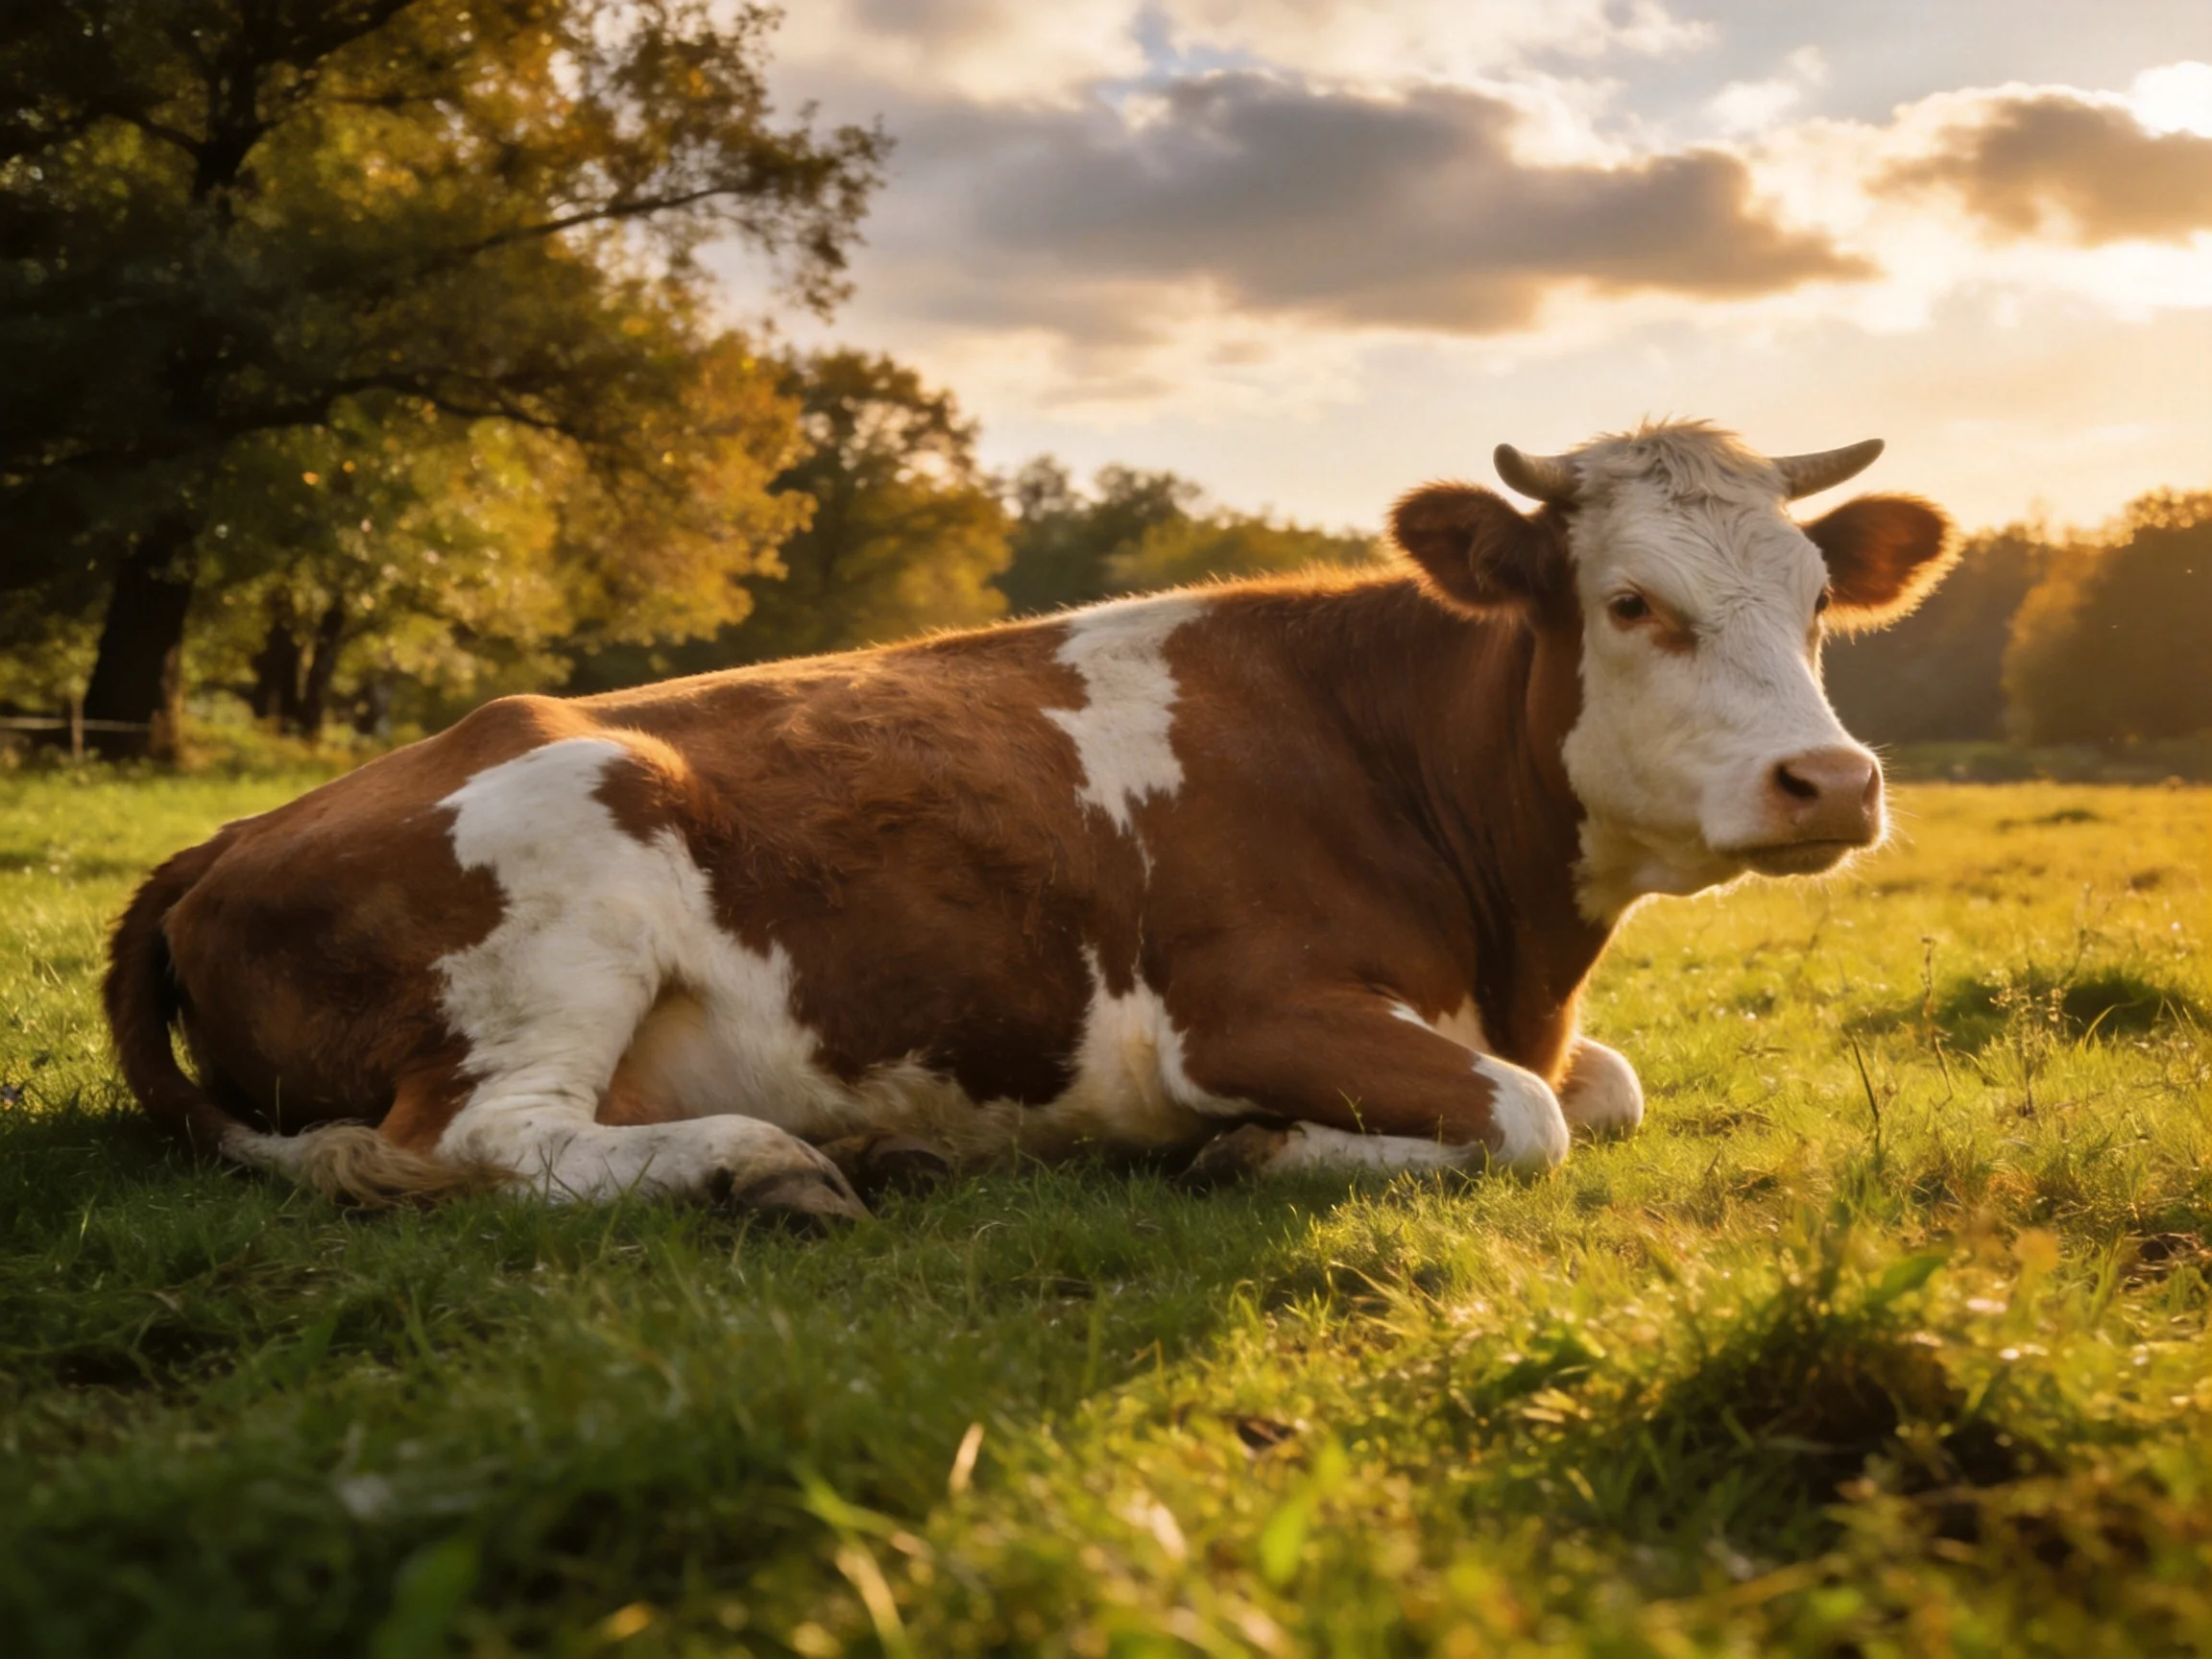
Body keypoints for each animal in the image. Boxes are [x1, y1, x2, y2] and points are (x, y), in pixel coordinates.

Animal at [105, 422, 1953, 1221]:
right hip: (567, 865)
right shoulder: (1239, 1010)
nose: (1832, 781)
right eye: (1632, 602)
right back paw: (768, 1165)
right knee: (491, 1142)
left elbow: (1604, 1088)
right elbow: (1530, 1117)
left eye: (1814, 605)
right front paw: (1255, 1149)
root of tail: (225, 836)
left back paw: (871, 1148)